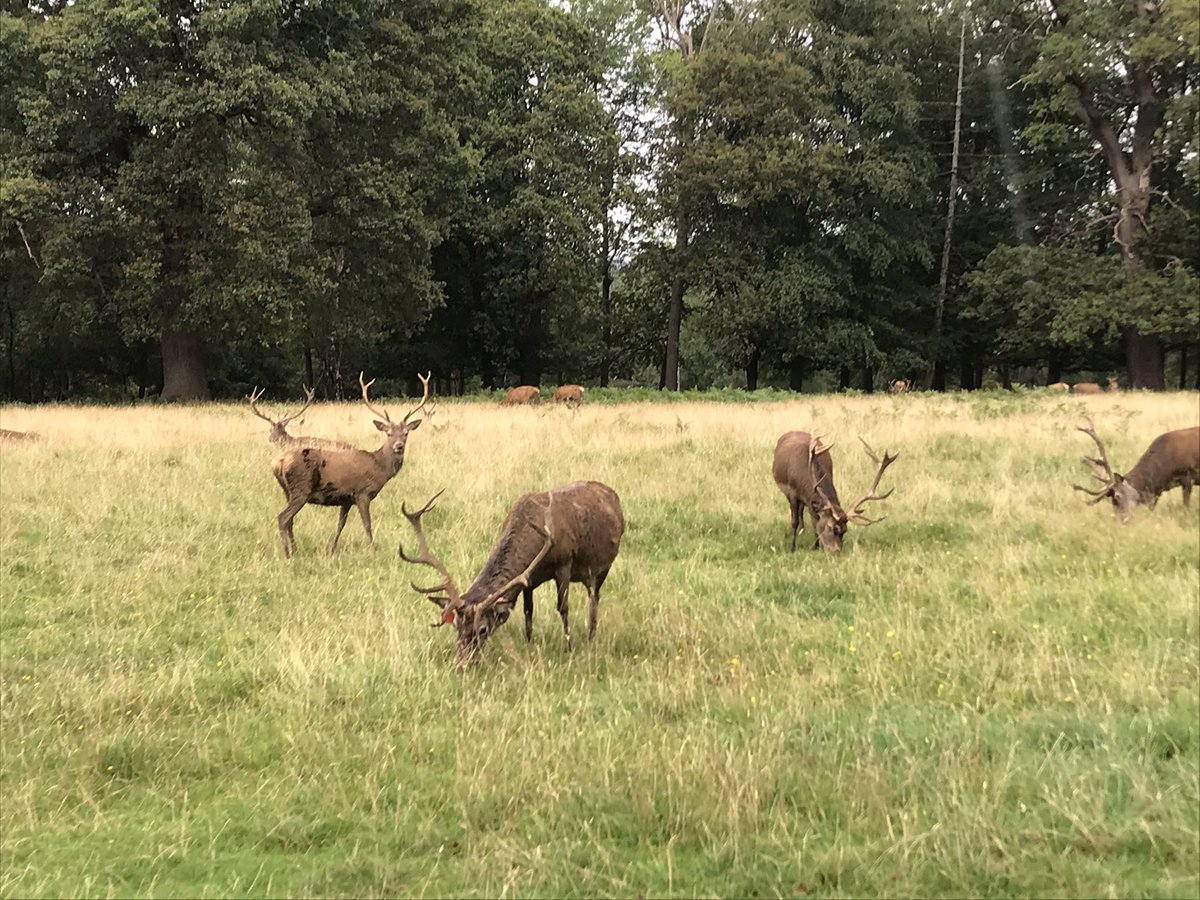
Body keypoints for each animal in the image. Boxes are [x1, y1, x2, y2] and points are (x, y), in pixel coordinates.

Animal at [272, 372, 432, 556]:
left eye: (406, 433)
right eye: (389, 433)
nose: (398, 446)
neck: (379, 468)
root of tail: (278, 462)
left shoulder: (346, 499)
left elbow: (340, 525)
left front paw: (332, 549)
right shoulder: (362, 493)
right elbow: (367, 524)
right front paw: (373, 549)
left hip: (288, 491)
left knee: (289, 520)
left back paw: (295, 550)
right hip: (301, 488)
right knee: (283, 517)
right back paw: (287, 553)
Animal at [403, 482, 628, 667]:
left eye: (483, 629)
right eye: (456, 626)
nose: (461, 664)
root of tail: (612, 494)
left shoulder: (564, 563)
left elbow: (563, 608)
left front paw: (569, 649)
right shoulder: (528, 579)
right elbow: (528, 611)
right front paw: (528, 642)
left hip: (602, 567)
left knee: (594, 597)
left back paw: (591, 637)